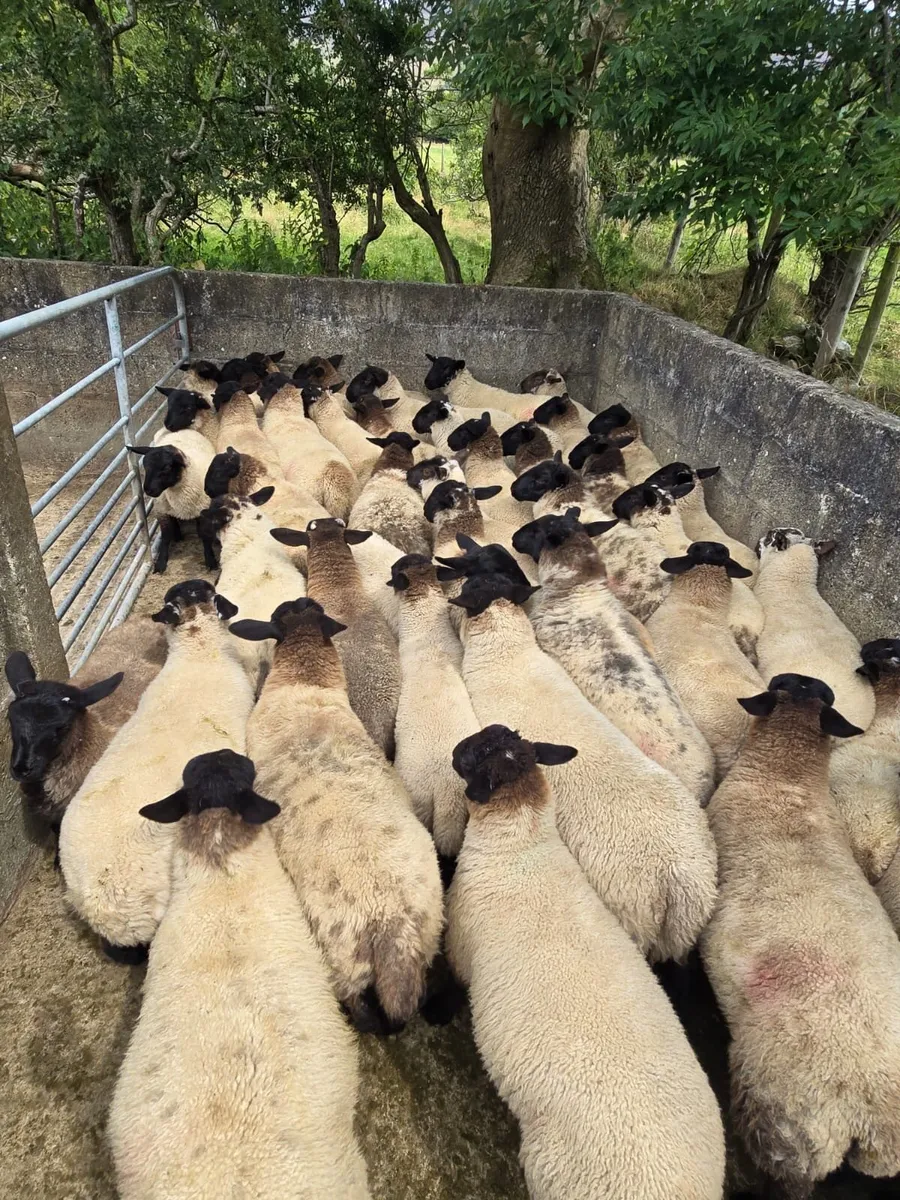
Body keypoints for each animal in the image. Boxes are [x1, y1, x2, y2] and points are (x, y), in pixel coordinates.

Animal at [128, 430, 217, 572]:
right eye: (145, 466)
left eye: (167, 467)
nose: (148, 490)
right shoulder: (162, 511)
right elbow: (165, 536)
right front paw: (161, 562)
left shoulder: (203, 510)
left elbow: (205, 536)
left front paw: (210, 560)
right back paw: (178, 535)